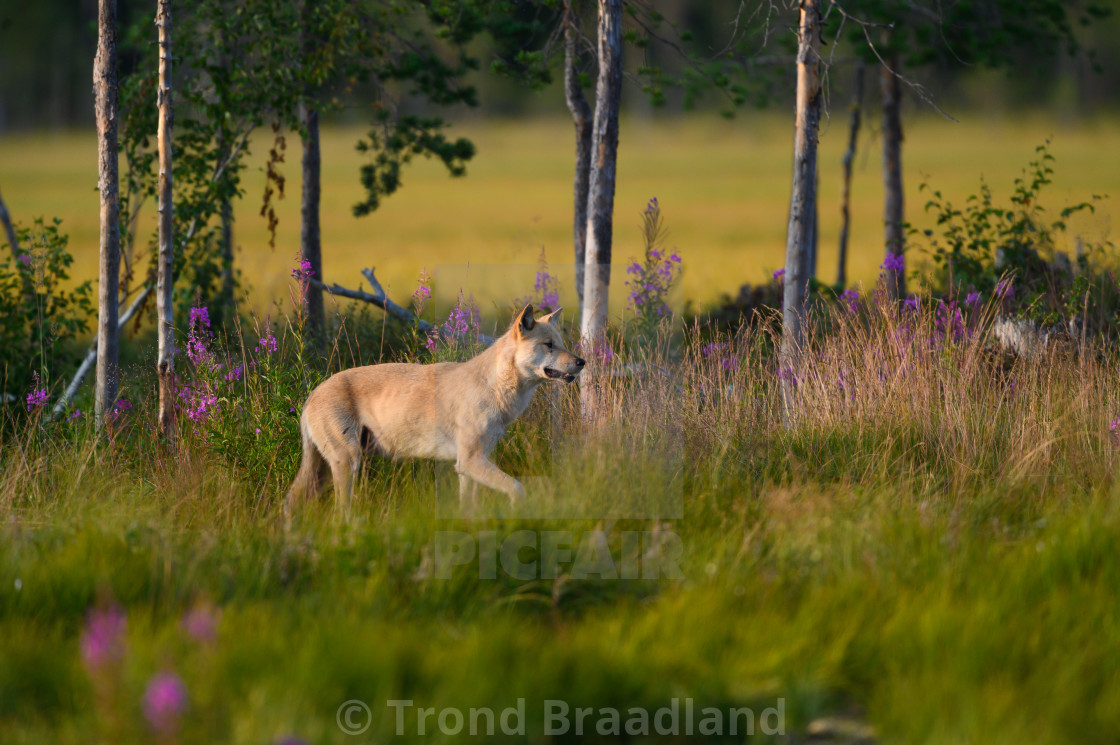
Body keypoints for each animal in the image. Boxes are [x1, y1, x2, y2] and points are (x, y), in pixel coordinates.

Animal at [284, 302, 586, 510]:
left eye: (561, 344)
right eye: (548, 345)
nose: (582, 362)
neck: (494, 388)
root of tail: (311, 395)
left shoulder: (468, 467)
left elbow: (469, 509)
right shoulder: (470, 461)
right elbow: (518, 489)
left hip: (325, 473)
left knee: (290, 503)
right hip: (347, 466)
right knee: (340, 514)